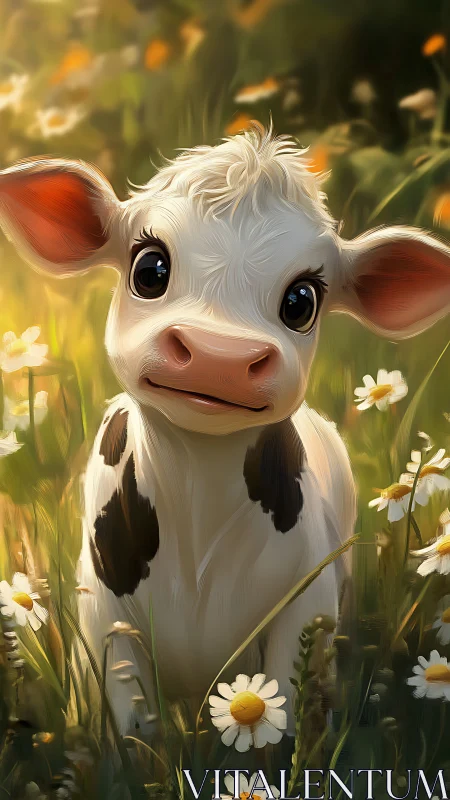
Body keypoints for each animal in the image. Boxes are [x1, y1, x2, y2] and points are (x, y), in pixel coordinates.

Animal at [0, 124, 449, 741]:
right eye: (150, 269)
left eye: (302, 301)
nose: (220, 356)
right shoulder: (104, 626)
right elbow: (132, 735)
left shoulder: (306, 608)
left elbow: (284, 719)